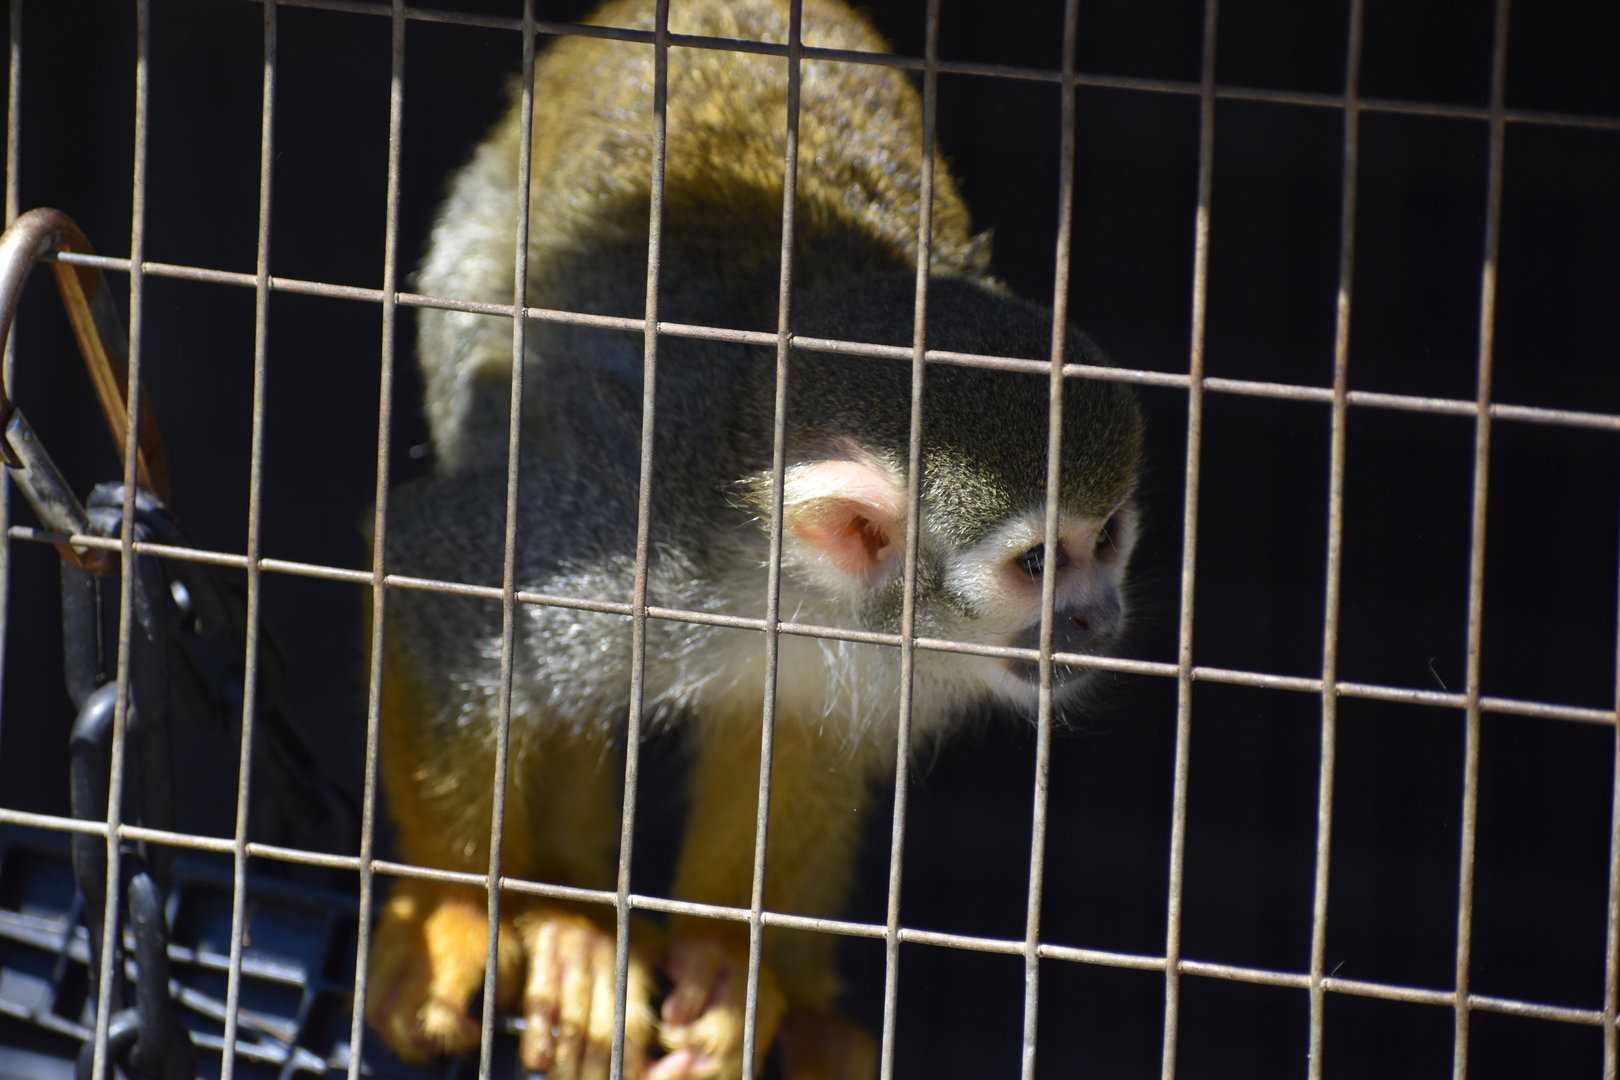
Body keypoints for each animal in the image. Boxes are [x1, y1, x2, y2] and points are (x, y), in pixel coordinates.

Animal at [362, 0, 1144, 1078]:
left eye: (1107, 538)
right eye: (1038, 564)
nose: (1099, 618)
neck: (785, 582)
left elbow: (801, 746)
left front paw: (737, 961)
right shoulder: (627, 534)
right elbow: (443, 577)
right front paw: (450, 910)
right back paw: (572, 916)